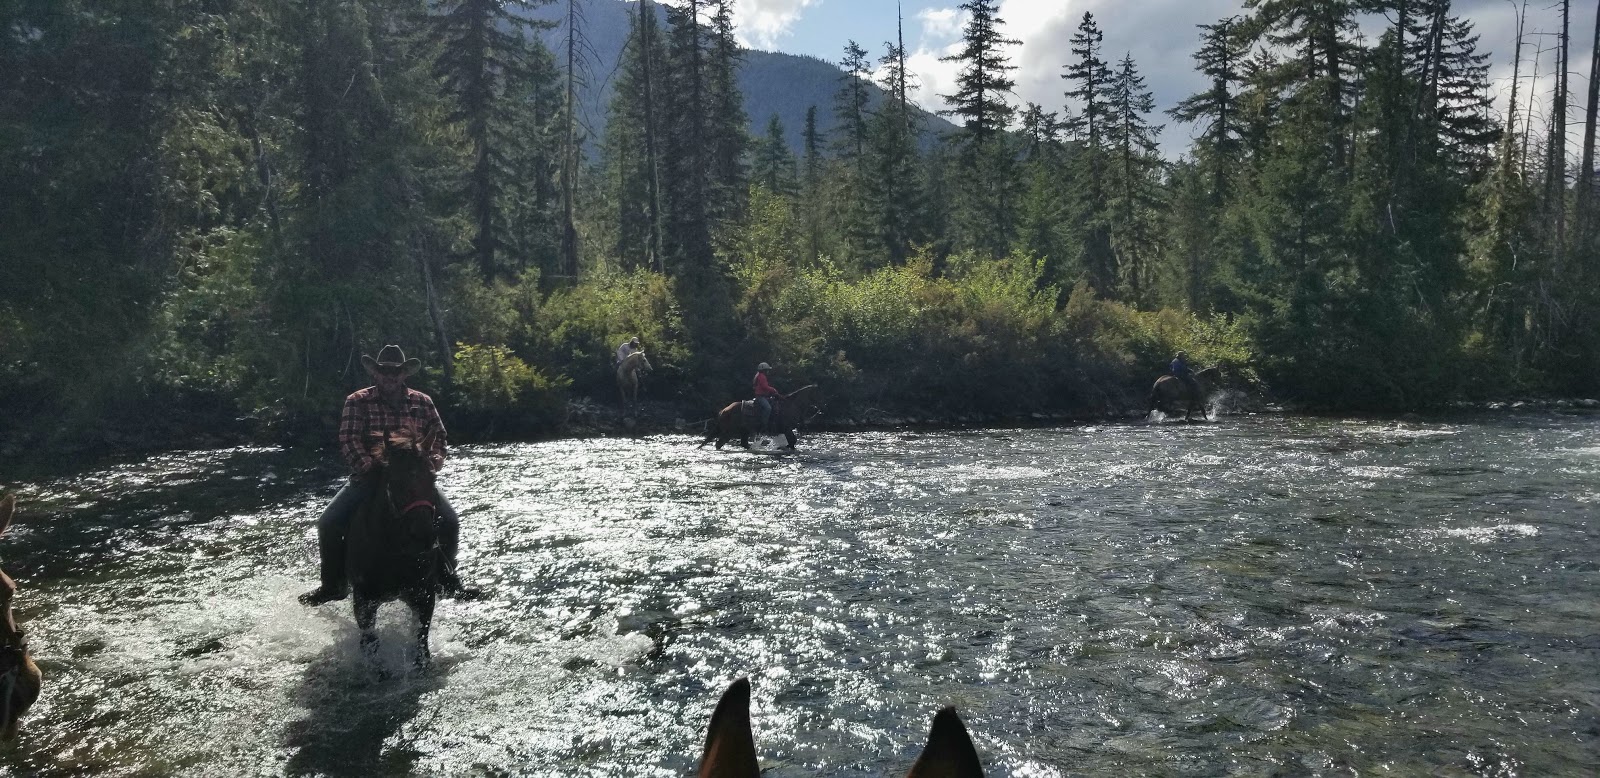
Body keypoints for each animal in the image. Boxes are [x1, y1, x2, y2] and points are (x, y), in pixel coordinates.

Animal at [345, 431, 441, 669]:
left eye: (433, 478)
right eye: (395, 482)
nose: (424, 537)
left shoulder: (424, 594)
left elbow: (421, 639)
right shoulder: (363, 601)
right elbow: (370, 643)